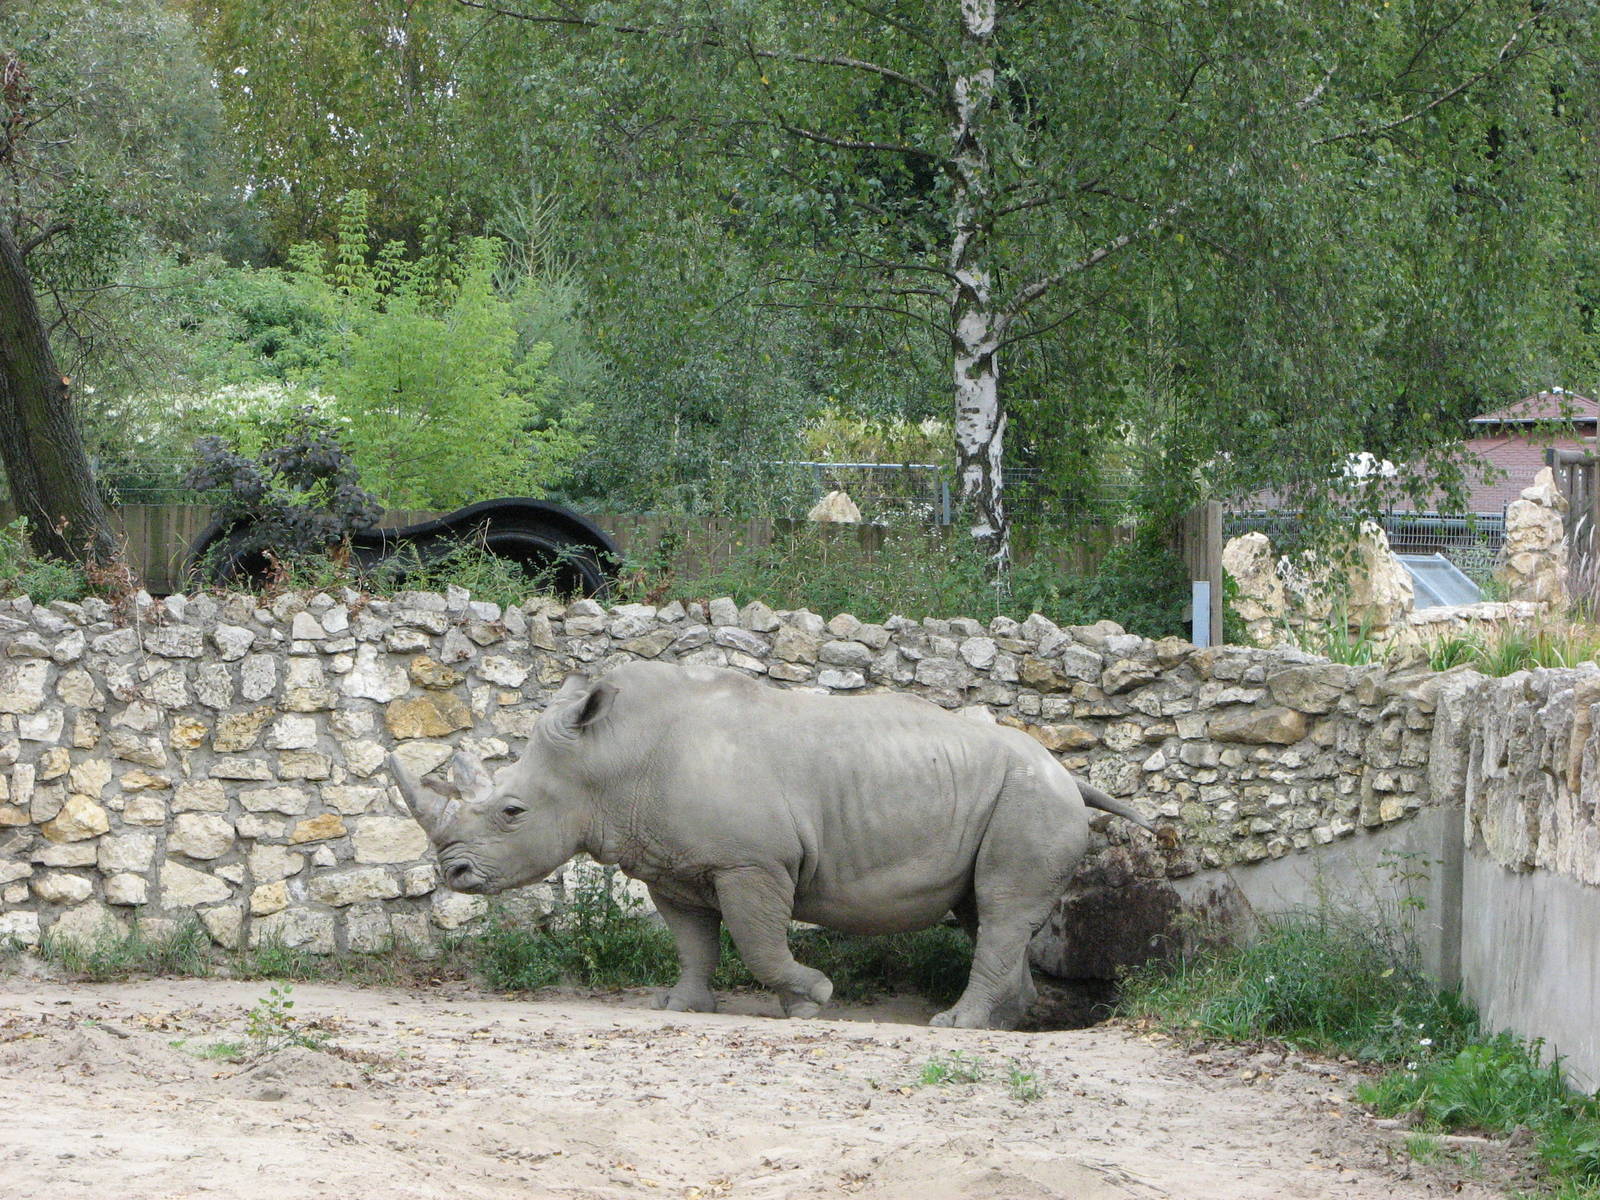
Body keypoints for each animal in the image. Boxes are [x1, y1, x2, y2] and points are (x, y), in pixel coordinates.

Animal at [389, 660, 1152, 1029]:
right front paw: (678, 1008)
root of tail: (1070, 773)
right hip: (1012, 798)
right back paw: (1003, 1026)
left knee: (997, 908)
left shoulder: (751, 861)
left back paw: (956, 1026)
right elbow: (693, 942)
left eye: (512, 812)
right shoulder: (671, 866)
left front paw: (812, 999)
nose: (453, 872)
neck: (609, 760)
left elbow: (757, 942)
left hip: (1030, 798)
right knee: (987, 912)